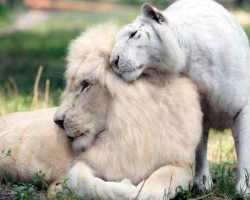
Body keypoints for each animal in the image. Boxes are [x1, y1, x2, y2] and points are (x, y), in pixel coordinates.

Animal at [0, 24, 202, 199]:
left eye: (85, 85)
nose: (57, 121)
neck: (130, 131)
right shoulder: (77, 169)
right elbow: (84, 182)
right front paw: (127, 187)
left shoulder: (182, 164)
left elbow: (162, 180)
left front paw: (144, 192)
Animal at [110, 0, 250, 194]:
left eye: (133, 34)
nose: (112, 61)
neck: (189, 62)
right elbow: (199, 150)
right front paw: (202, 184)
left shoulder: (242, 108)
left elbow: (244, 152)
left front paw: (243, 190)